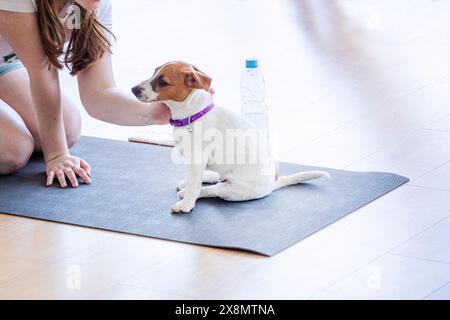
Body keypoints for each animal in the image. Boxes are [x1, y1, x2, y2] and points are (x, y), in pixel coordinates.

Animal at [132, 61, 328, 214]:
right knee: (212, 178)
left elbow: (195, 186)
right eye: (154, 72)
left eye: (162, 82)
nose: (133, 89)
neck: (193, 115)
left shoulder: (197, 159)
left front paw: (185, 204)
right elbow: (194, 179)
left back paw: (187, 192)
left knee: (212, 189)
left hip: (231, 190)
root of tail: (274, 182)